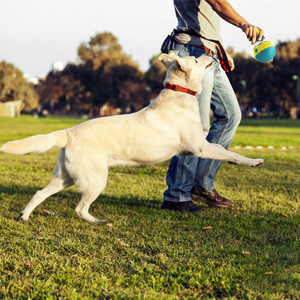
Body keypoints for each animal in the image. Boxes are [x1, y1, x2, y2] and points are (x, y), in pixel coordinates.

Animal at [0, 54, 264, 223]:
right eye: (197, 60)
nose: (211, 53)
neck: (179, 95)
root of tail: (68, 132)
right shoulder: (200, 147)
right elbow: (228, 151)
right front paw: (253, 161)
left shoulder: (195, 149)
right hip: (95, 180)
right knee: (79, 208)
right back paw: (97, 221)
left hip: (65, 177)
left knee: (39, 193)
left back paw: (25, 216)